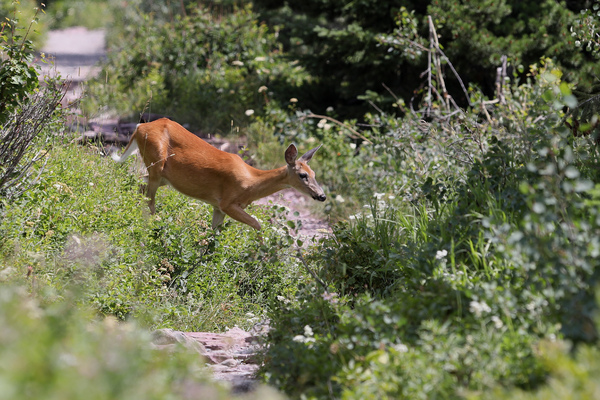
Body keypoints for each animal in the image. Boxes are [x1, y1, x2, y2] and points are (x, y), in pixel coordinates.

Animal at [112, 118, 328, 231]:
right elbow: (257, 224)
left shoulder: (218, 207)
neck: (252, 181)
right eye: (302, 175)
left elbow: (214, 234)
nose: (322, 196)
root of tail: (140, 127)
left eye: (315, 173)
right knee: (149, 199)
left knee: (140, 186)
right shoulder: (227, 202)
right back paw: (153, 226)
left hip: (162, 176)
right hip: (156, 164)